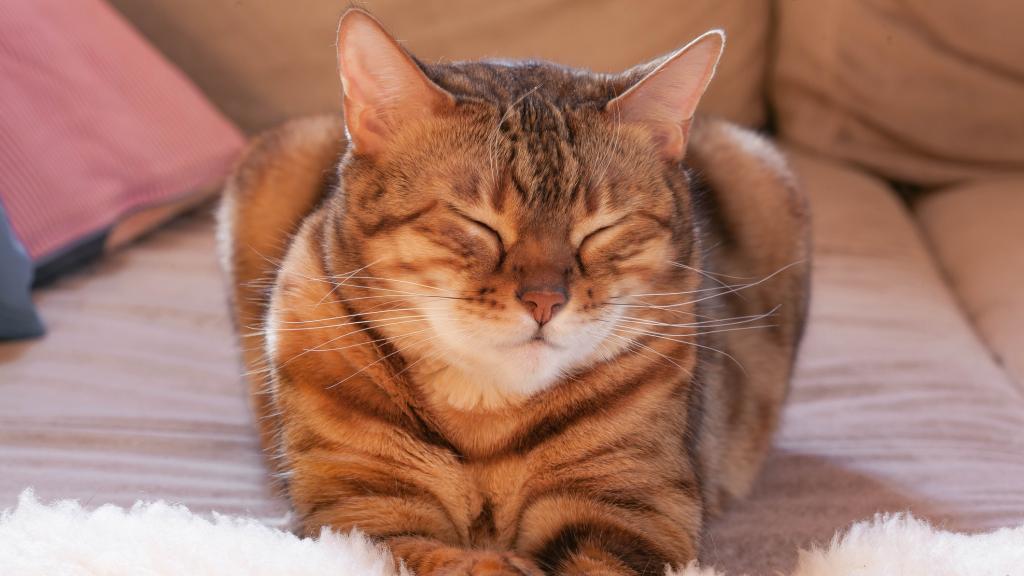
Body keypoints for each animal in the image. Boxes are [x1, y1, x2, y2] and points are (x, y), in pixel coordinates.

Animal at [216, 8, 806, 573]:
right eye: (478, 223)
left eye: (601, 229)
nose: (545, 300)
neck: (486, 419)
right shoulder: (358, 515)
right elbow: (447, 561)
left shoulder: (638, 511)